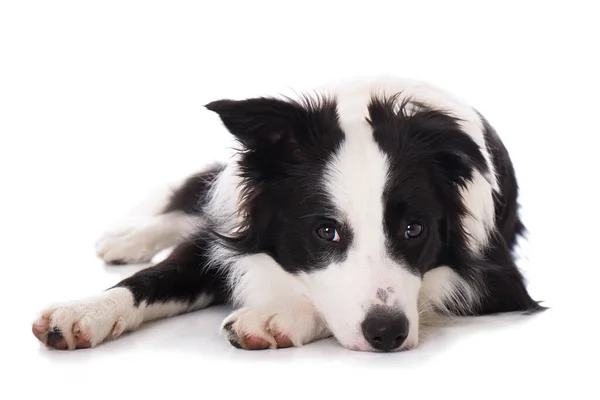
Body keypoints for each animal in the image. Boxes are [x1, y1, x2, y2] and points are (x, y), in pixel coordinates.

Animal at [30, 76, 544, 352]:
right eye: (326, 231)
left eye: (413, 229)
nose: (388, 335)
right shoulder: (227, 232)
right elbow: (154, 278)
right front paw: (83, 312)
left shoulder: (498, 277)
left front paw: (274, 317)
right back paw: (125, 239)